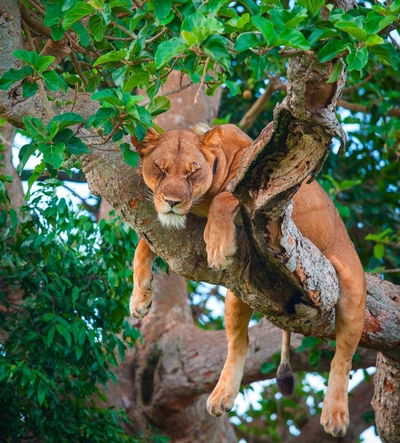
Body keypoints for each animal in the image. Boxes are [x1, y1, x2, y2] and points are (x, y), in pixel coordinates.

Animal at [130, 123, 368, 438]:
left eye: (192, 173)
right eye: (160, 169)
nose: (171, 202)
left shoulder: (260, 186)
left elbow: (223, 198)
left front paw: (218, 247)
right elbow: (143, 245)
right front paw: (140, 298)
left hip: (352, 288)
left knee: (343, 355)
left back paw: (335, 415)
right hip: (240, 291)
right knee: (239, 343)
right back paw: (221, 396)